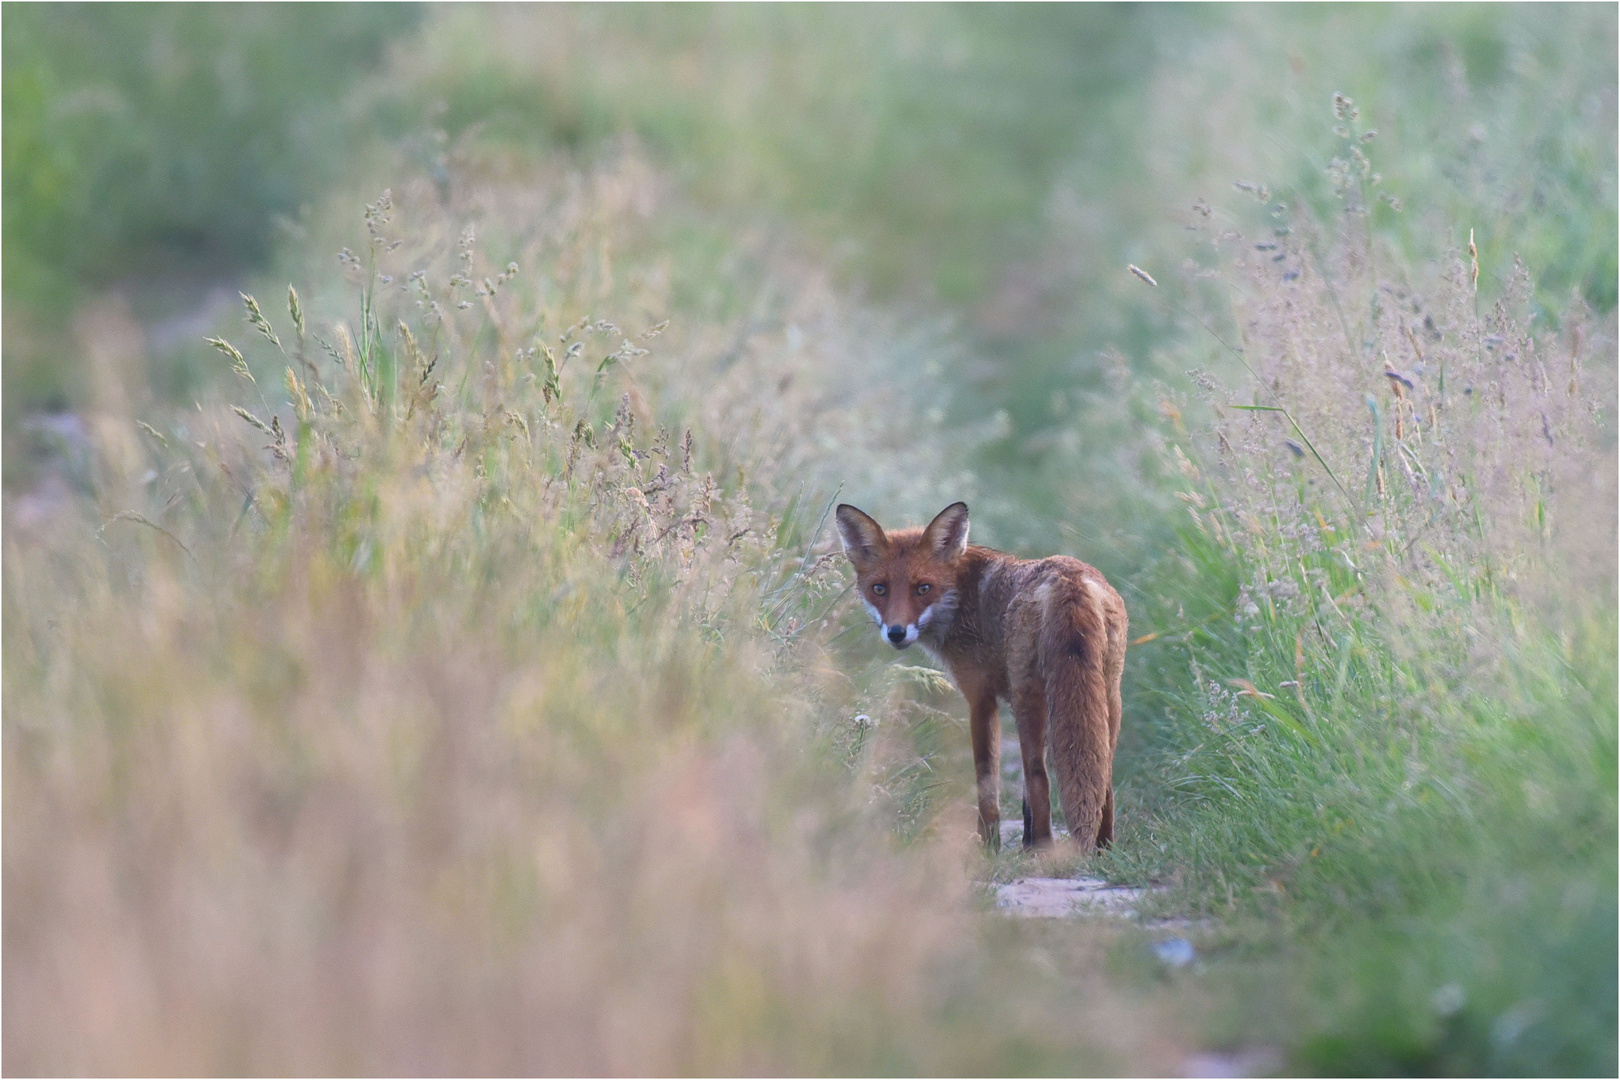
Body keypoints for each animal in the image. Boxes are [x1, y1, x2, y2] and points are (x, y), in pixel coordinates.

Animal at [835, 501, 1127, 848]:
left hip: (1030, 698)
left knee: (1039, 775)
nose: (896, 632)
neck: (962, 599)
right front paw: (1022, 840)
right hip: (1107, 697)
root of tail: (1069, 580)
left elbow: (987, 780)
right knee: (1103, 778)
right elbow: (1025, 795)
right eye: (879, 589)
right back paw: (1103, 848)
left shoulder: (981, 697)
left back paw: (1044, 849)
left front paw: (988, 845)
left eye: (923, 588)